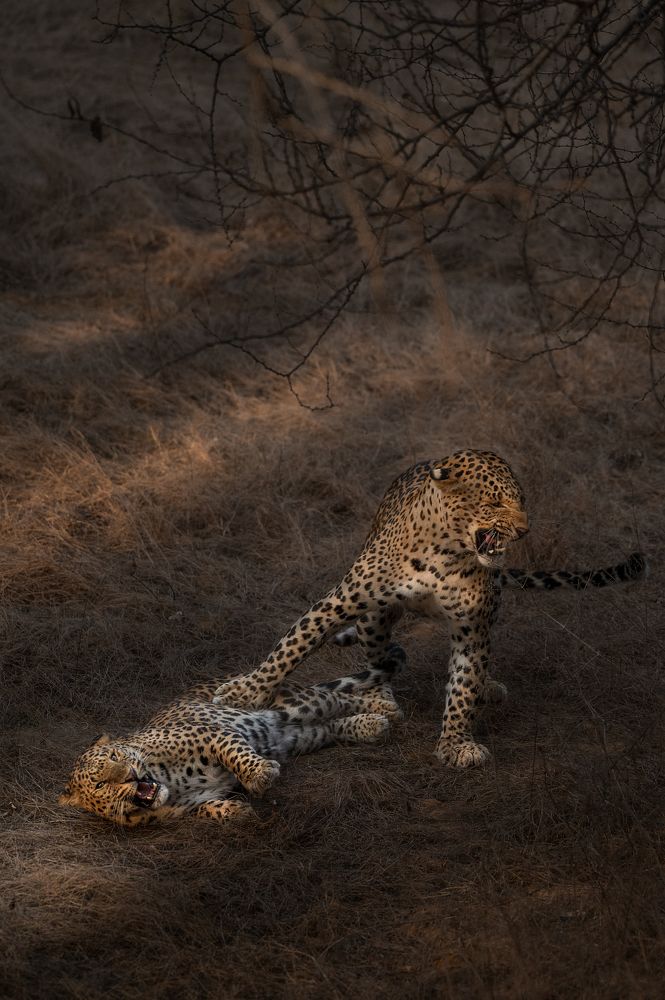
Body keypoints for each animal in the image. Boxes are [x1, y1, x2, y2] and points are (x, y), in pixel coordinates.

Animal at [59, 671, 402, 827]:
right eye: (101, 784)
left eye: (116, 756)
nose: (130, 773)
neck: (168, 783)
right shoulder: (188, 808)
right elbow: (208, 809)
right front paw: (236, 811)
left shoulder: (211, 734)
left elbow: (234, 753)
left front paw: (259, 775)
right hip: (302, 735)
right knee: (333, 726)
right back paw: (371, 726)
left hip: (299, 705)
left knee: (341, 697)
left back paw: (386, 706)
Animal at [213, 449, 647, 769]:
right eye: (494, 501)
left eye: (521, 502)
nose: (524, 531)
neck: (446, 551)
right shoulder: (342, 599)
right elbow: (292, 645)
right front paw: (246, 690)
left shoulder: (473, 627)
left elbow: (463, 684)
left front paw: (456, 742)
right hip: (374, 618)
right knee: (378, 656)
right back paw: (379, 694)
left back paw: (487, 686)